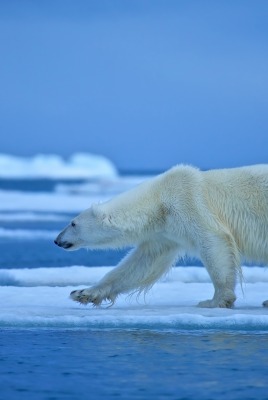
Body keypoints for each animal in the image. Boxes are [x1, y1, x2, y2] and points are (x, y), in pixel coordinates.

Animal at [54, 166, 268, 310]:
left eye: (73, 223)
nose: (57, 240)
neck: (159, 201)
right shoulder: (166, 232)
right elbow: (142, 263)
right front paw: (82, 293)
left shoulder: (189, 203)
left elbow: (214, 241)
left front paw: (214, 300)